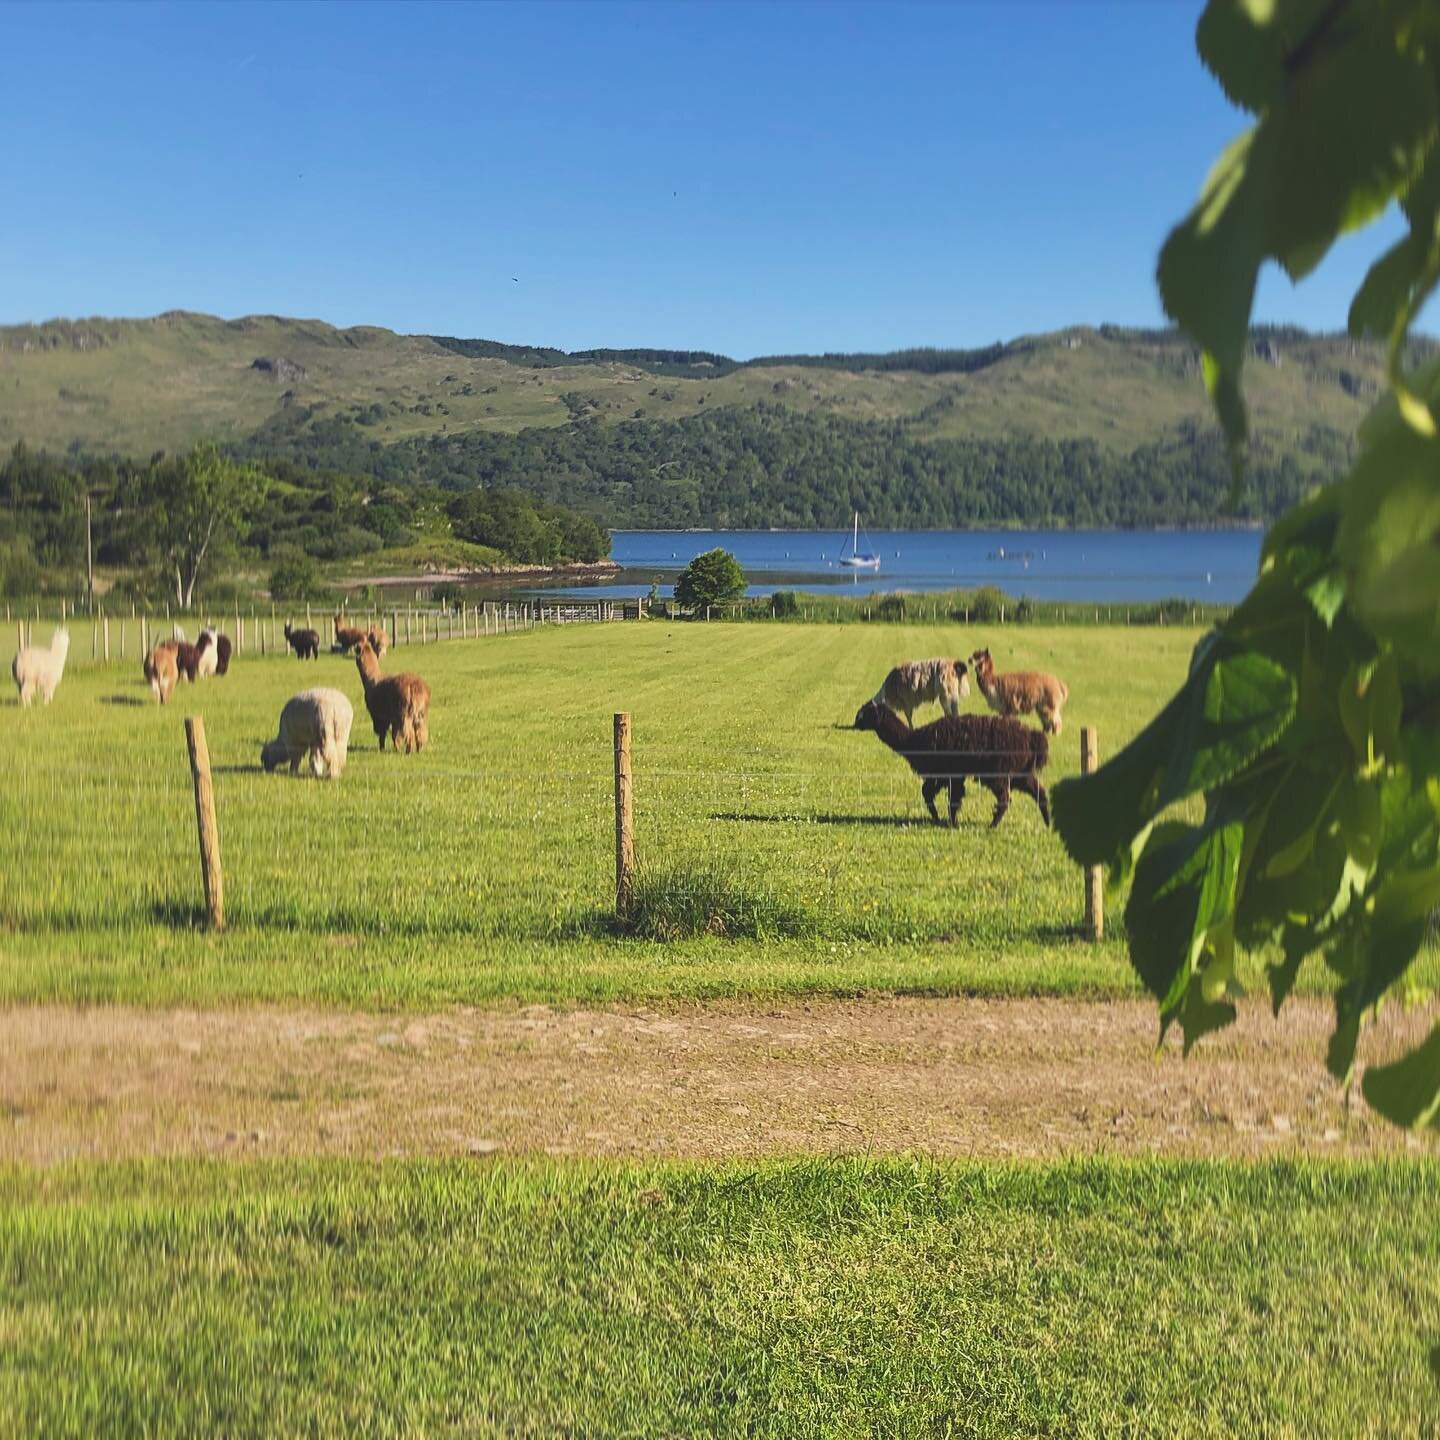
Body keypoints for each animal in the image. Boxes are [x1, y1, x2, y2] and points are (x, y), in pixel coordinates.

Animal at [852, 699, 1048, 835]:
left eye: (865, 714)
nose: (855, 724)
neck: (914, 741)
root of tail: (1032, 737)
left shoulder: (950, 773)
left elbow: (951, 799)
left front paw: (951, 823)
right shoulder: (941, 775)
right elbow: (929, 793)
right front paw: (940, 819)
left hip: (999, 771)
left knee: (1005, 798)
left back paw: (992, 826)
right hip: (1020, 772)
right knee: (1039, 791)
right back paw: (1048, 823)